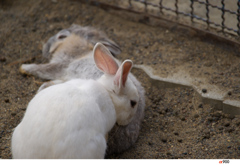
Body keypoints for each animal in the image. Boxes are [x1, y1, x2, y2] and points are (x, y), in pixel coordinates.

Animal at [18, 24, 145, 155]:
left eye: (61, 36)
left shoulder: (62, 66)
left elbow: (42, 69)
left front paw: (23, 68)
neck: (81, 48)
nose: (45, 48)